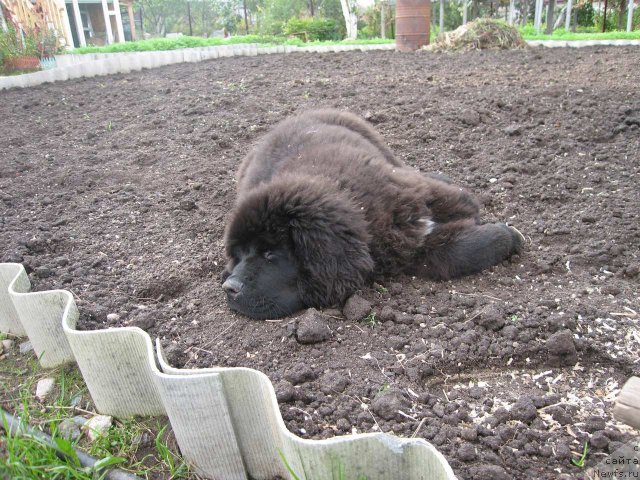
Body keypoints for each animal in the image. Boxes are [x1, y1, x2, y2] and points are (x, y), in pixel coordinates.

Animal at [222, 109, 524, 318]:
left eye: (270, 253)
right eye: (239, 255)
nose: (229, 287)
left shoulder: (412, 192)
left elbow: (456, 202)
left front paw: (500, 229)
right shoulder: (407, 252)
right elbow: (446, 253)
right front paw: (505, 234)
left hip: (382, 148)